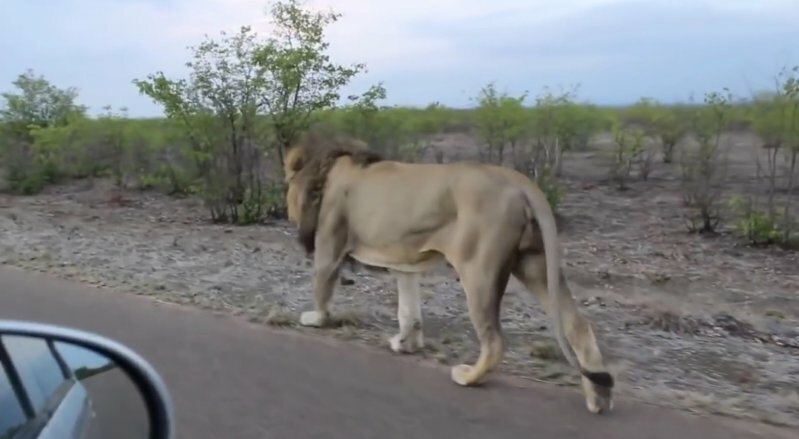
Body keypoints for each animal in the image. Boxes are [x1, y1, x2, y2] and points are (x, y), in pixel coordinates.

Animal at [284, 132, 616, 414]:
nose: (288, 213)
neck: (326, 170)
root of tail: (519, 180)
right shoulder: (405, 261)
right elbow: (409, 309)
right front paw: (406, 343)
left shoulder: (330, 242)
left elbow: (322, 284)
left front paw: (315, 319)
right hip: (535, 264)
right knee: (577, 325)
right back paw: (598, 398)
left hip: (478, 269)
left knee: (494, 341)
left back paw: (468, 377)